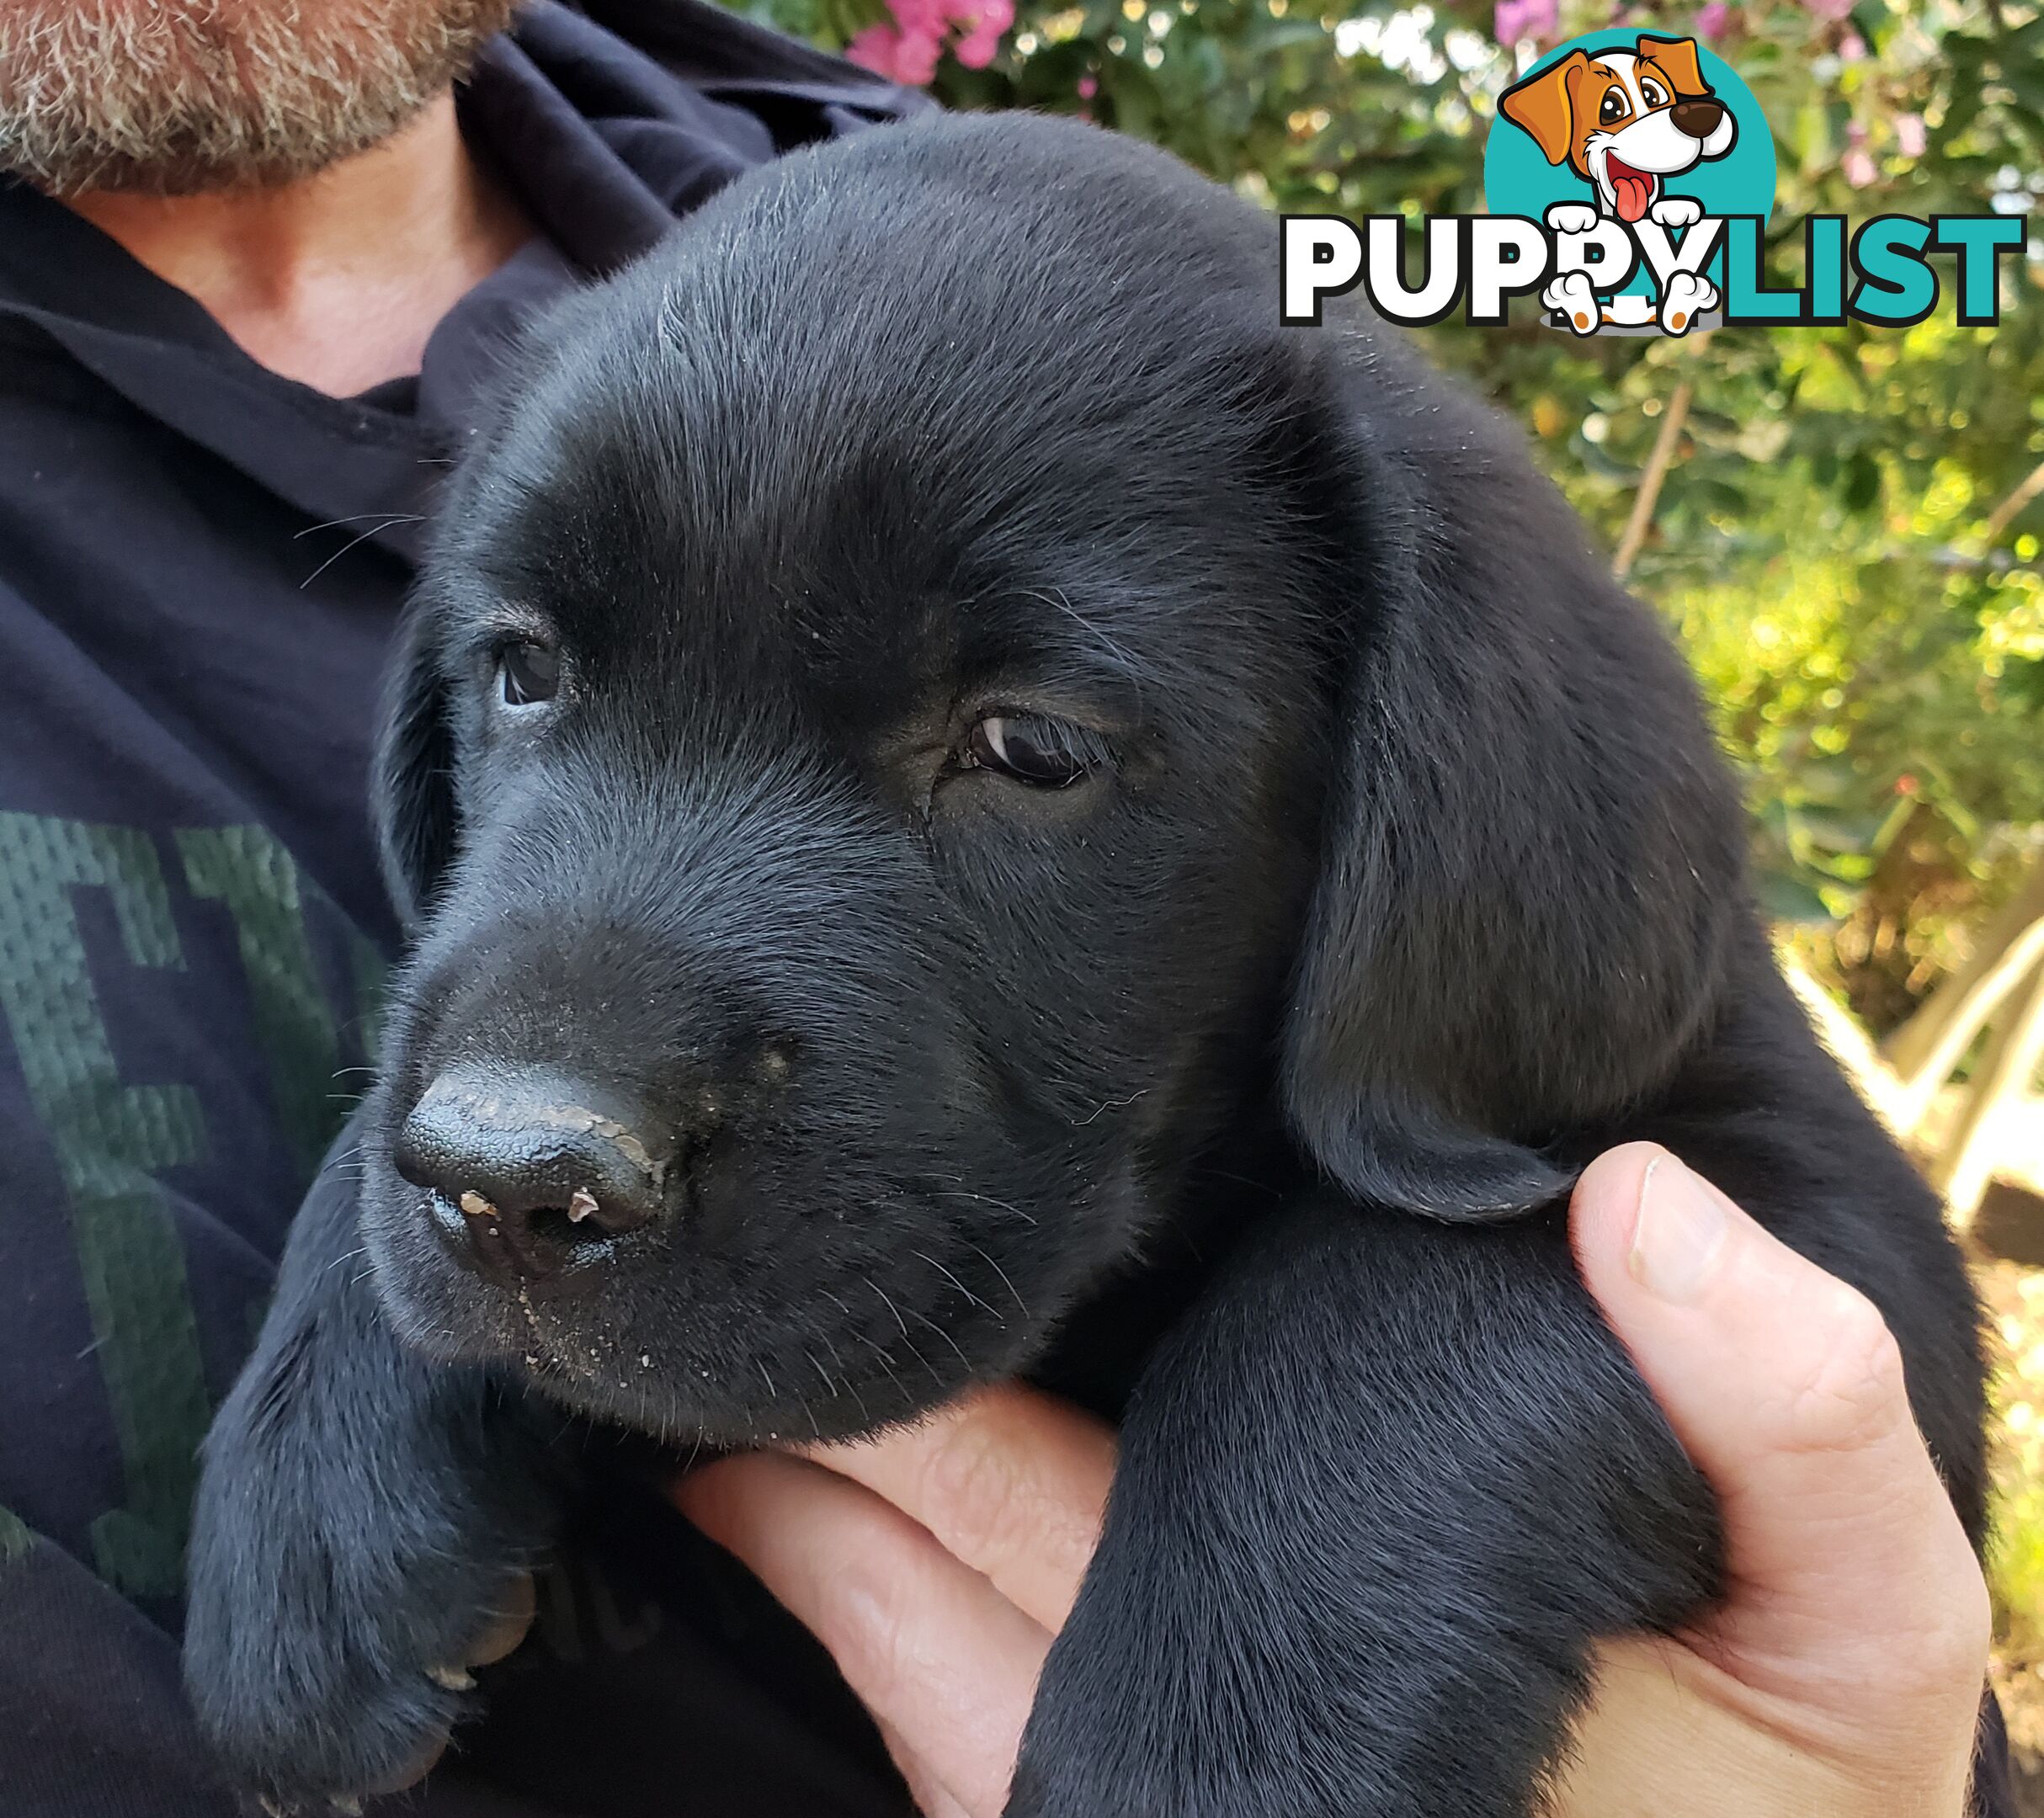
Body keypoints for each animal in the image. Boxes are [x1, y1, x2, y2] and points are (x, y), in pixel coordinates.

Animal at [184, 113, 1987, 1814]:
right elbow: (376, 1124)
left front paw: (1217, 1746)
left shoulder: (1814, 1220)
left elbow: (1412, 1279)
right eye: (522, 672)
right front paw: (312, 1480)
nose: (510, 1181)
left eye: (1033, 749)